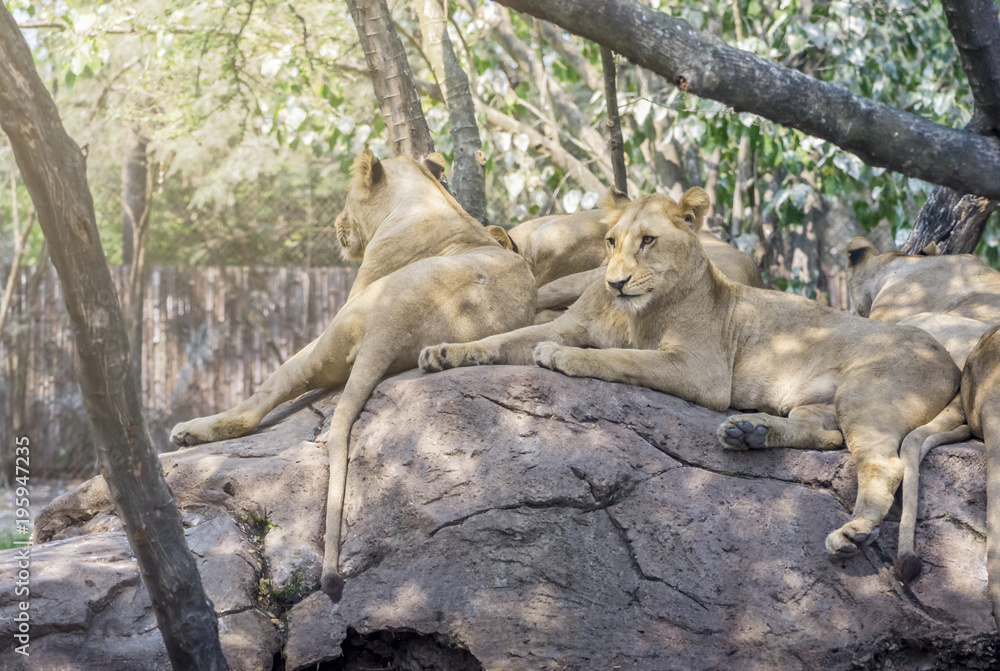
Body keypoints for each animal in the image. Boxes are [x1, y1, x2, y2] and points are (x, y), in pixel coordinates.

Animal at [169, 150, 536, 601]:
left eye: (347, 198)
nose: (336, 224)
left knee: (257, 404)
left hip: (329, 335)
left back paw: (189, 430)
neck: (425, 198)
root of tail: (390, 325)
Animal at [419, 191, 960, 559]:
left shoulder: (701, 372)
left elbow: (623, 360)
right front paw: (442, 353)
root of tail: (954, 363)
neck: (632, 311)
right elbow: (499, 340)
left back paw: (854, 532)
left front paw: (561, 358)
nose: (615, 281)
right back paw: (749, 431)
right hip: (821, 403)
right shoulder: (568, 323)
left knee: (884, 463)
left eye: (649, 241)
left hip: (868, 392)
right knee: (823, 434)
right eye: (611, 241)